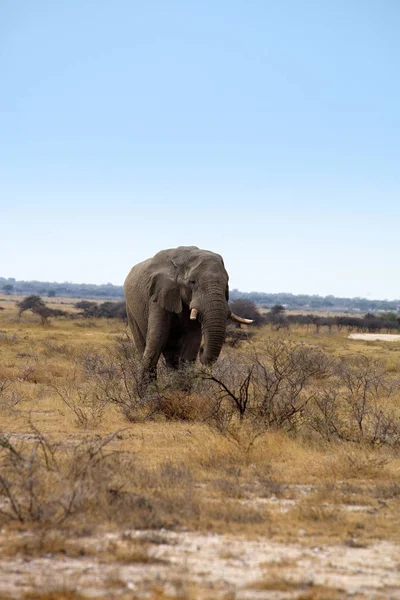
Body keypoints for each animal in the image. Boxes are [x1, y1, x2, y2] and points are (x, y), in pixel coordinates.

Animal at [123, 245, 252, 380]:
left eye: (226, 284)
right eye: (192, 282)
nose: (202, 349)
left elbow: (191, 342)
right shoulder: (158, 295)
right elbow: (156, 341)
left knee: (171, 355)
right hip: (130, 310)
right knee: (143, 345)